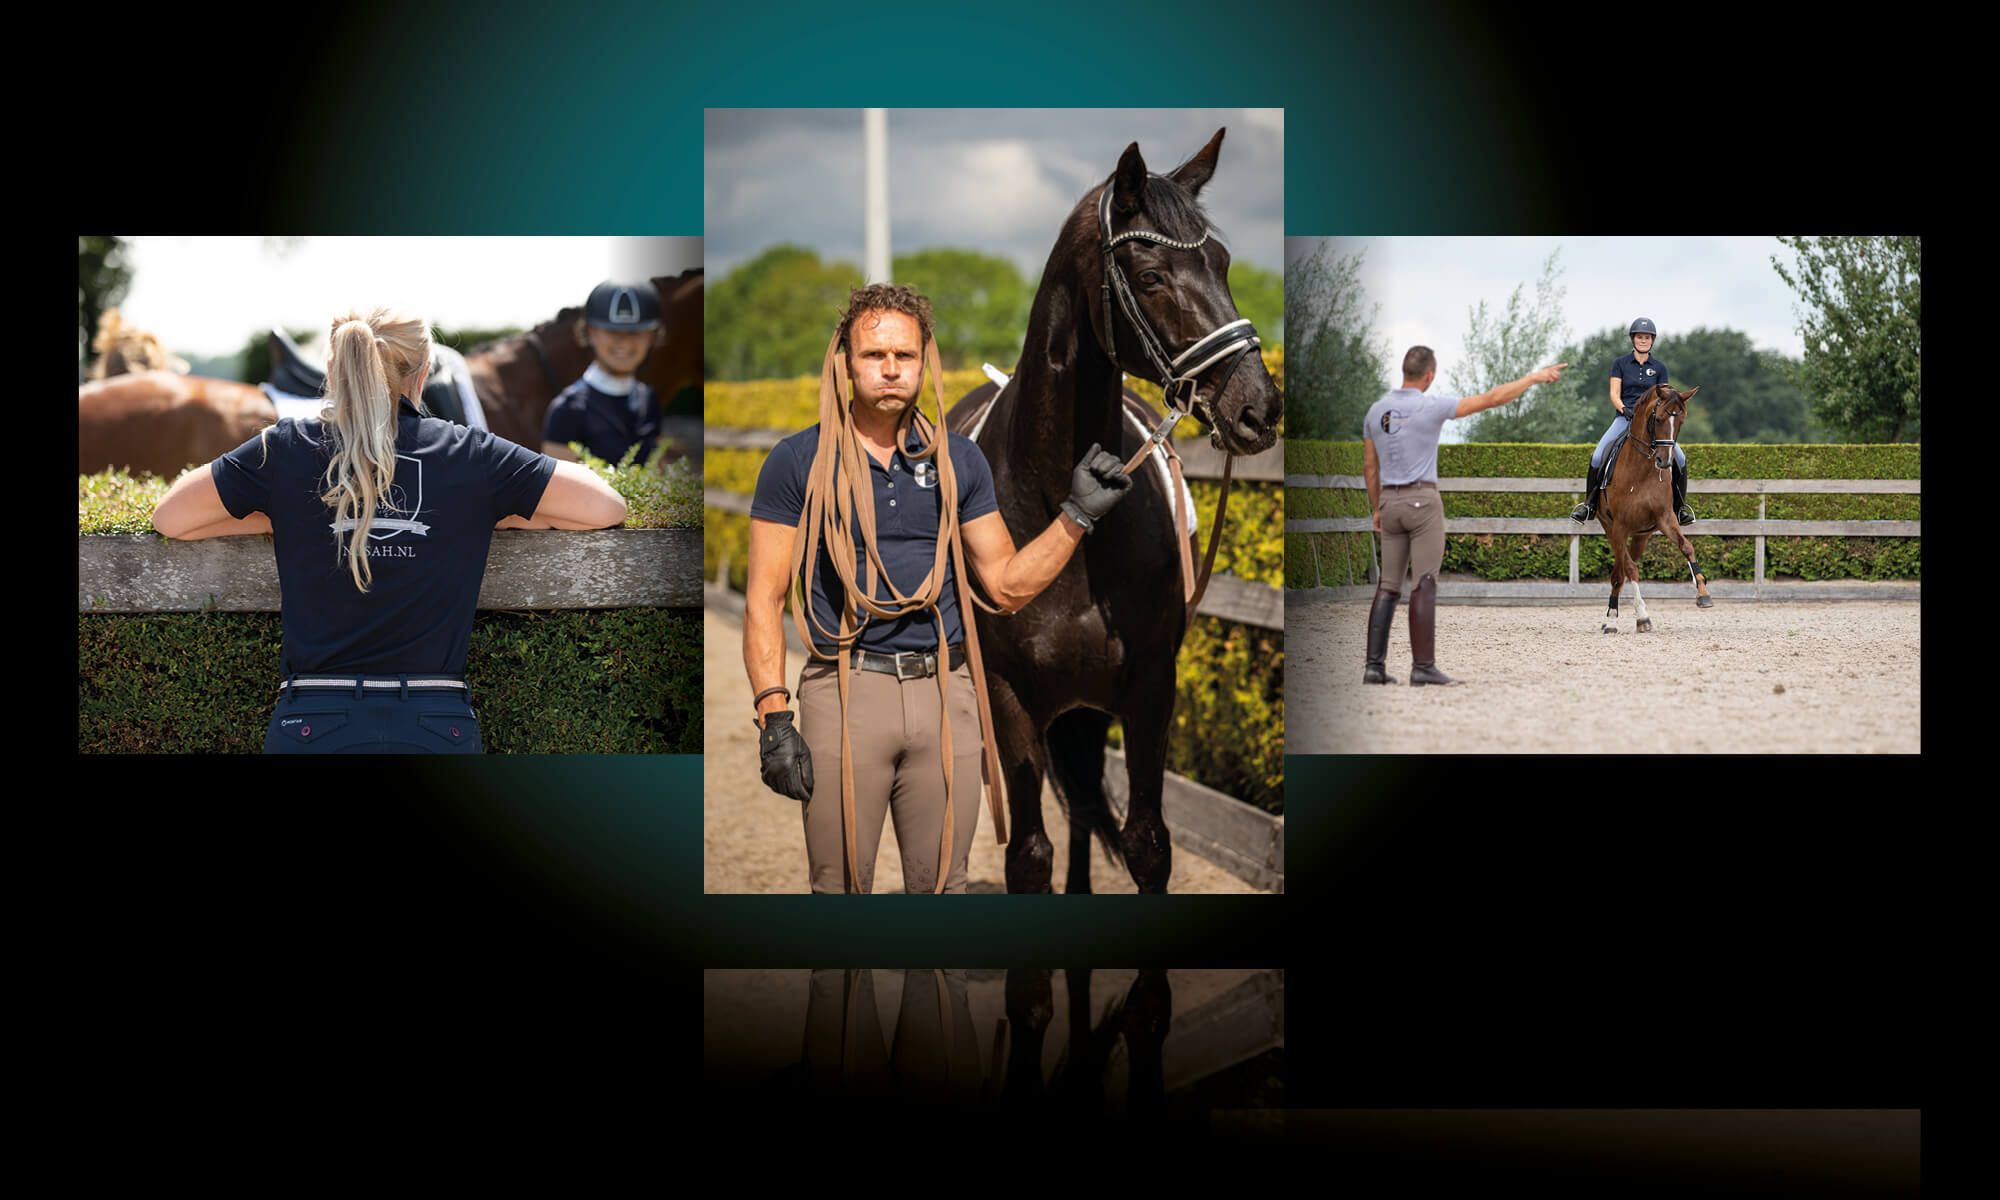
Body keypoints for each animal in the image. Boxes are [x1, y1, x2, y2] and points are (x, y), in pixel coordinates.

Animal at [948, 134, 1280, 900]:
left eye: (1222, 263)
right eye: (1152, 276)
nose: (1259, 408)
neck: (1056, 514)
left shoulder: (1150, 686)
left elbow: (1146, 843)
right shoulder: (1008, 699)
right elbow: (1027, 856)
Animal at [1592, 384, 1720, 632]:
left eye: (1681, 421)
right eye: (1659, 419)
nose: (1664, 462)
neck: (1641, 470)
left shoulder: (1665, 518)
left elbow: (1687, 547)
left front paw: (1703, 594)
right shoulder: (1619, 526)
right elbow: (1626, 571)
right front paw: (1631, 617)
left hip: (1642, 536)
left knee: (1626, 563)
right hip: (1610, 527)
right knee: (1624, 568)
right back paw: (1614, 618)